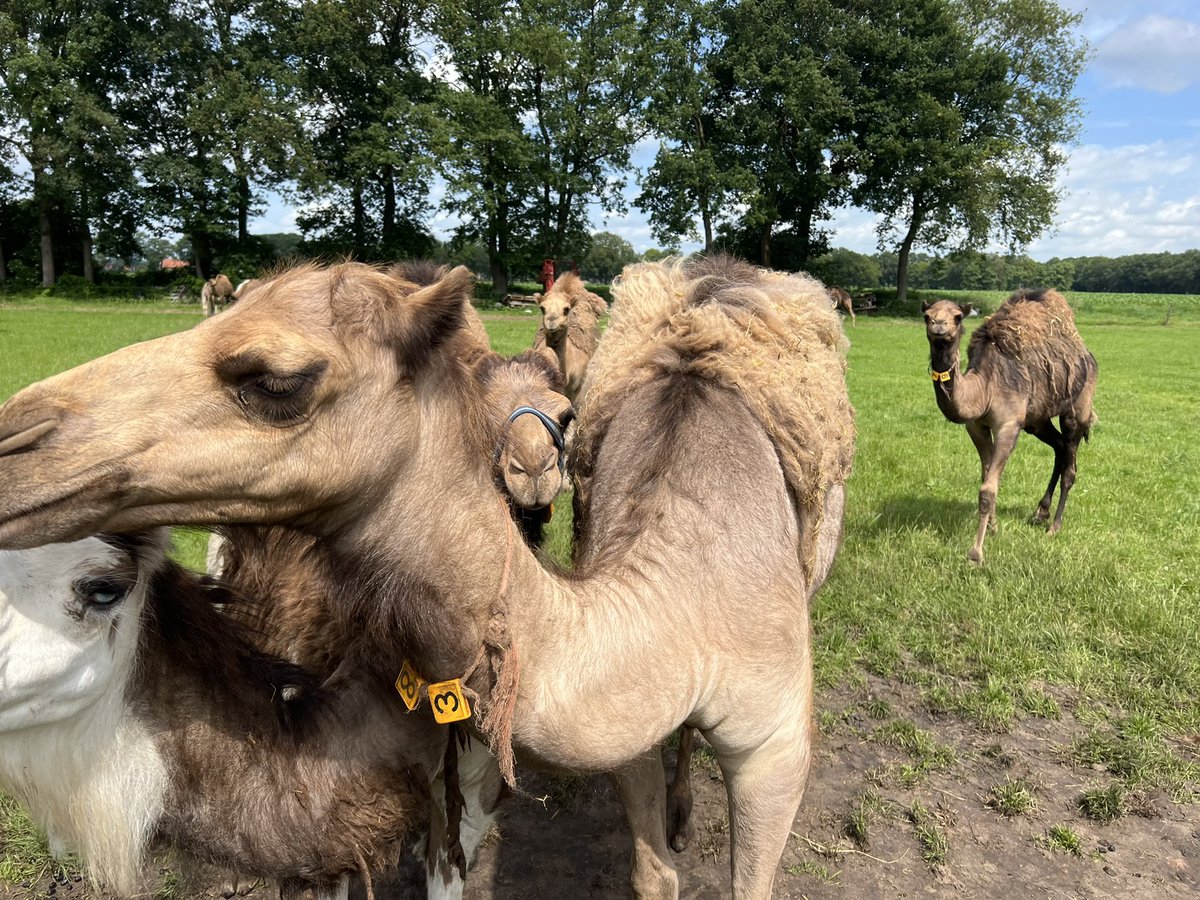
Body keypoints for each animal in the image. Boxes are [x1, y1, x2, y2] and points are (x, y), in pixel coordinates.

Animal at [922, 291, 1098, 564]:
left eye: (958, 316)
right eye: (926, 315)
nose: (939, 326)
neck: (984, 388)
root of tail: (1088, 355)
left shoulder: (1008, 425)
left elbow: (988, 489)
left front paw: (975, 554)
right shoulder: (976, 427)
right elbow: (985, 477)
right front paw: (993, 527)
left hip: (1077, 408)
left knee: (1070, 466)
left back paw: (1054, 527)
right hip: (1037, 420)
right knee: (1059, 447)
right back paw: (1040, 512)